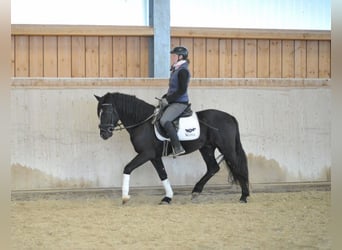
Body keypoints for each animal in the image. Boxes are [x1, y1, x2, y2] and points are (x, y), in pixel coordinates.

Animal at [95, 93, 250, 204]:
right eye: (99, 113)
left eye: (107, 112)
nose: (103, 134)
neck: (143, 123)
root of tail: (230, 117)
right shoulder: (154, 156)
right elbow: (163, 175)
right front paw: (167, 198)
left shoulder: (146, 154)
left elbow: (127, 168)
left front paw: (125, 197)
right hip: (206, 148)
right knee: (213, 168)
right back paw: (196, 192)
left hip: (226, 148)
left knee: (237, 167)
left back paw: (244, 196)